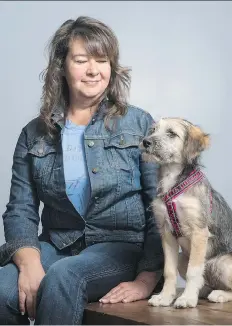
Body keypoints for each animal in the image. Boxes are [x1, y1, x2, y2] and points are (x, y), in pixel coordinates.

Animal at [141, 117, 232, 308]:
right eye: (153, 130)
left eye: (171, 133)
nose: (145, 142)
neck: (173, 183)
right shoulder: (167, 233)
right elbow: (169, 271)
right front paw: (165, 297)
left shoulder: (199, 232)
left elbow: (194, 272)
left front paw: (188, 298)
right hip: (183, 257)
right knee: (205, 284)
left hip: (223, 263)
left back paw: (219, 294)